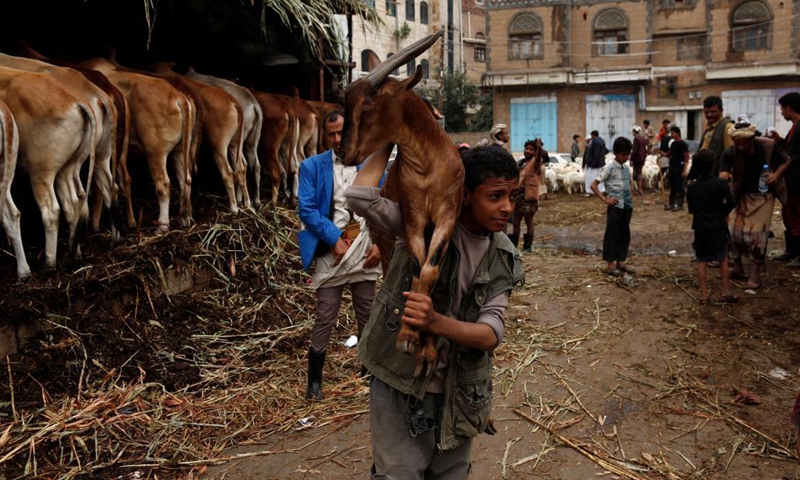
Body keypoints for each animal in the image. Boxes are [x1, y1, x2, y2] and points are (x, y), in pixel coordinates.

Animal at [338, 31, 462, 376]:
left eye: (367, 109)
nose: (343, 152)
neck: (428, 168)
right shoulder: (413, 217)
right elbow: (419, 267)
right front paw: (408, 339)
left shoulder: (447, 214)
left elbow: (432, 269)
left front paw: (427, 347)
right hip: (383, 238)